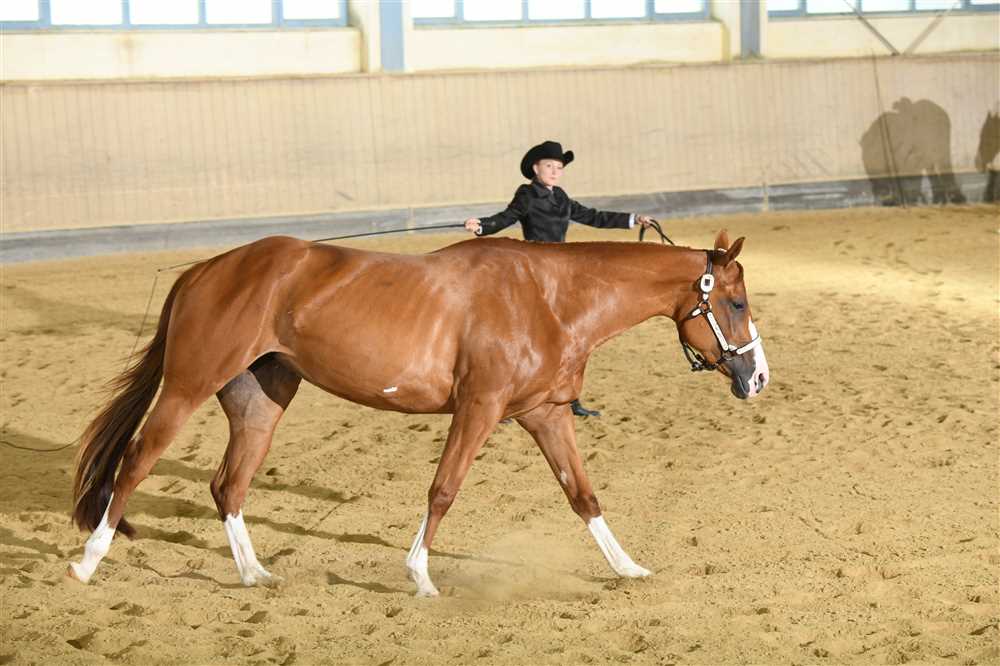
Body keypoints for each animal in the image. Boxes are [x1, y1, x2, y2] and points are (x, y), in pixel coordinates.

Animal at [69, 230, 769, 596]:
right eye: (735, 304)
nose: (758, 377)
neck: (548, 298)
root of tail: (205, 270)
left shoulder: (546, 415)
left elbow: (583, 495)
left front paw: (627, 567)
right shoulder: (479, 410)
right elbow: (444, 490)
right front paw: (420, 576)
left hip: (259, 402)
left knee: (227, 486)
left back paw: (253, 573)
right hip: (188, 386)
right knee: (136, 462)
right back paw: (87, 562)